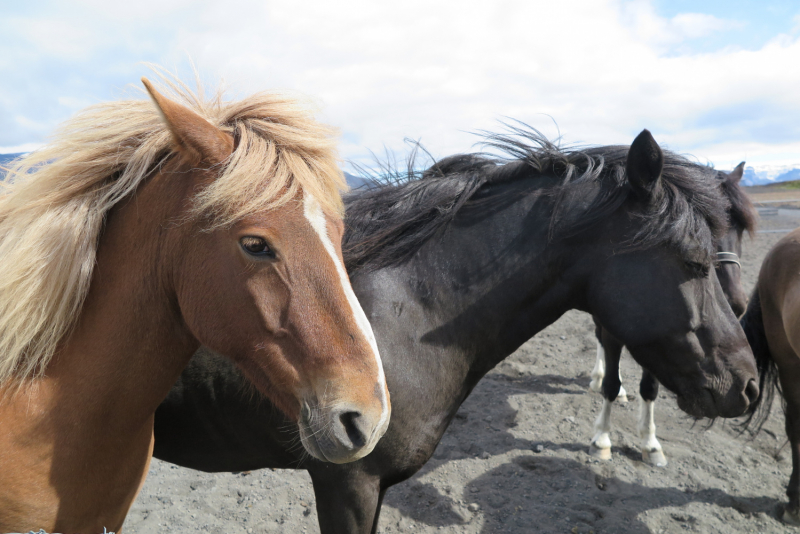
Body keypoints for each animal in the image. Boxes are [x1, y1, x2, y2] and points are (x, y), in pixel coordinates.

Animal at [588, 163, 756, 468]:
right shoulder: (616, 329)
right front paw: (602, 438)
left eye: (739, 229)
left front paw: (651, 443)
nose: (736, 302)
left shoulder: (660, 342)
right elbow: (610, 383)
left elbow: (650, 389)